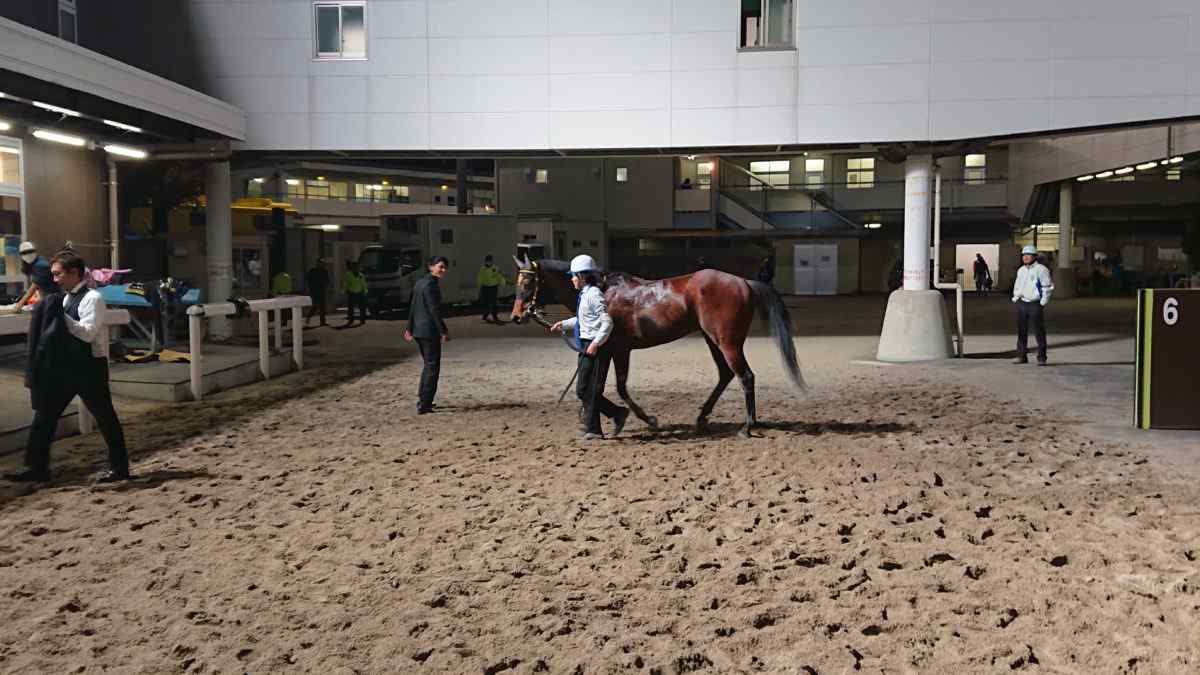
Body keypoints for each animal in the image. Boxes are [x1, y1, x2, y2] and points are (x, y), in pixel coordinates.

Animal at [508, 254, 806, 432]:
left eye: (528, 283)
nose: (516, 316)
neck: (603, 290)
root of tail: (744, 282)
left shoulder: (614, 350)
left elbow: (614, 387)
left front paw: (640, 419)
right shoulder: (611, 351)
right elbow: (601, 387)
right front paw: (599, 419)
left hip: (727, 341)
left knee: (746, 376)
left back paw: (748, 426)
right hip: (713, 340)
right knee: (725, 374)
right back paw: (702, 417)